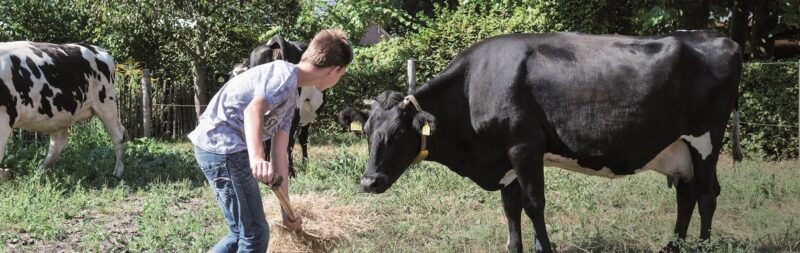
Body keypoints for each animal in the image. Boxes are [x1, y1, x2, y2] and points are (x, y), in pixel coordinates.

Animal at [0, 41, 126, 178]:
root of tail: (98, 50)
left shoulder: (5, 118)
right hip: (60, 115)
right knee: (58, 142)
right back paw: (39, 173)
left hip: (106, 102)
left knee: (118, 135)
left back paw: (118, 172)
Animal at [338, 30, 744, 252]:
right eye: (367, 133)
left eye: (398, 133)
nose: (368, 182)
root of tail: (721, 38)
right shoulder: (503, 156)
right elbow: (510, 208)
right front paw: (514, 248)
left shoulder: (524, 147)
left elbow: (534, 205)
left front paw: (542, 247)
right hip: (679, 148)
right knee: (686, 196)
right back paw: (671, 246)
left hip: (706, 140)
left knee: (706, 195)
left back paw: (702, 246)